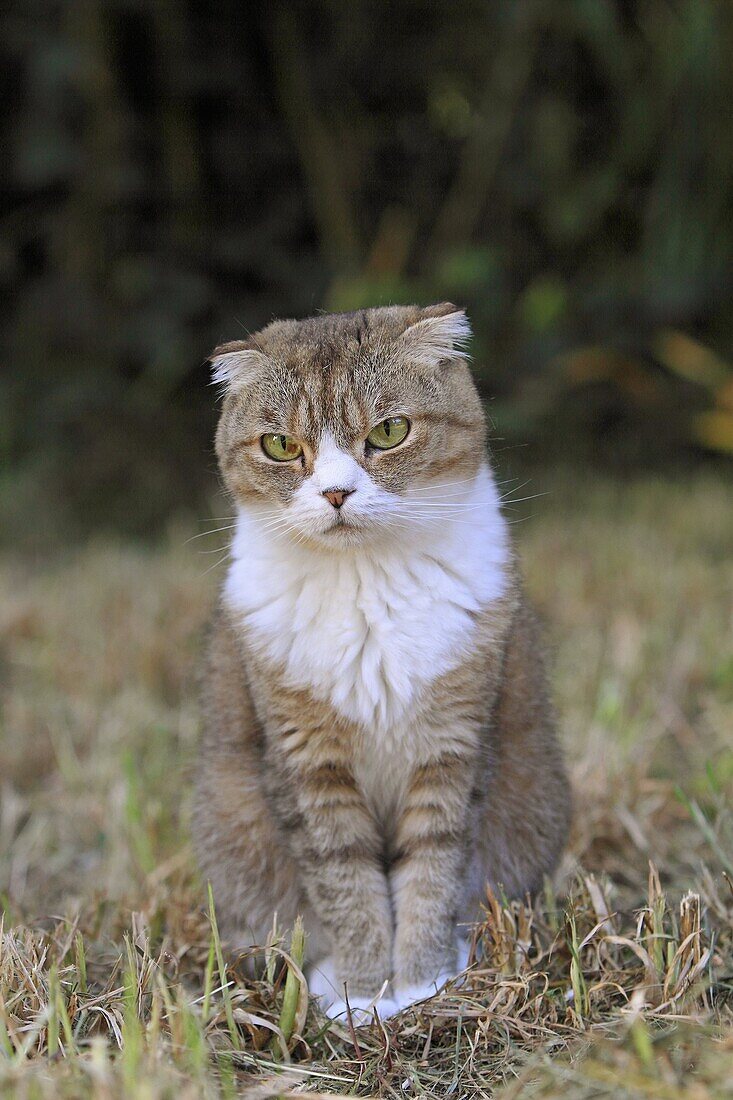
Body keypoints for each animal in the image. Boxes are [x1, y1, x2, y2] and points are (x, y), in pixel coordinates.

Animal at [191, 303, 567, 1020]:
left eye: (389, 432)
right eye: (281, 446)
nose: (336, 493)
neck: (364, 581)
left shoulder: (454, 746)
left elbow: (433, 867)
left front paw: (421, 982)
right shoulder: (306, 764)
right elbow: (344, 882)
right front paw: (363, 992)